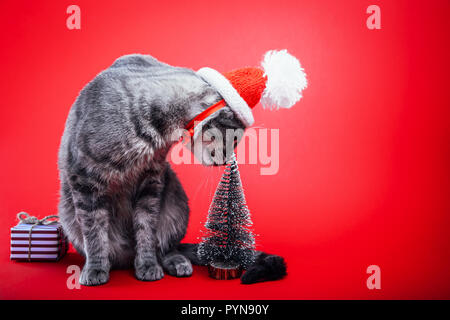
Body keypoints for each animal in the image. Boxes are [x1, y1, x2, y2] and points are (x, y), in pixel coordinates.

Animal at [58, 53, 286, 286]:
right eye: (233, 141)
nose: (224, 162)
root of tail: (125, 257)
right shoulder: (85, 179)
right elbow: (94, 232)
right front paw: (95, 268)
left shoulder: (151, 180)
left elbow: (146, 231)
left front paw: (147, 265)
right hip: (67, 212)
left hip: (175, 198)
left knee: (167, 248)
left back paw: (176, 262)